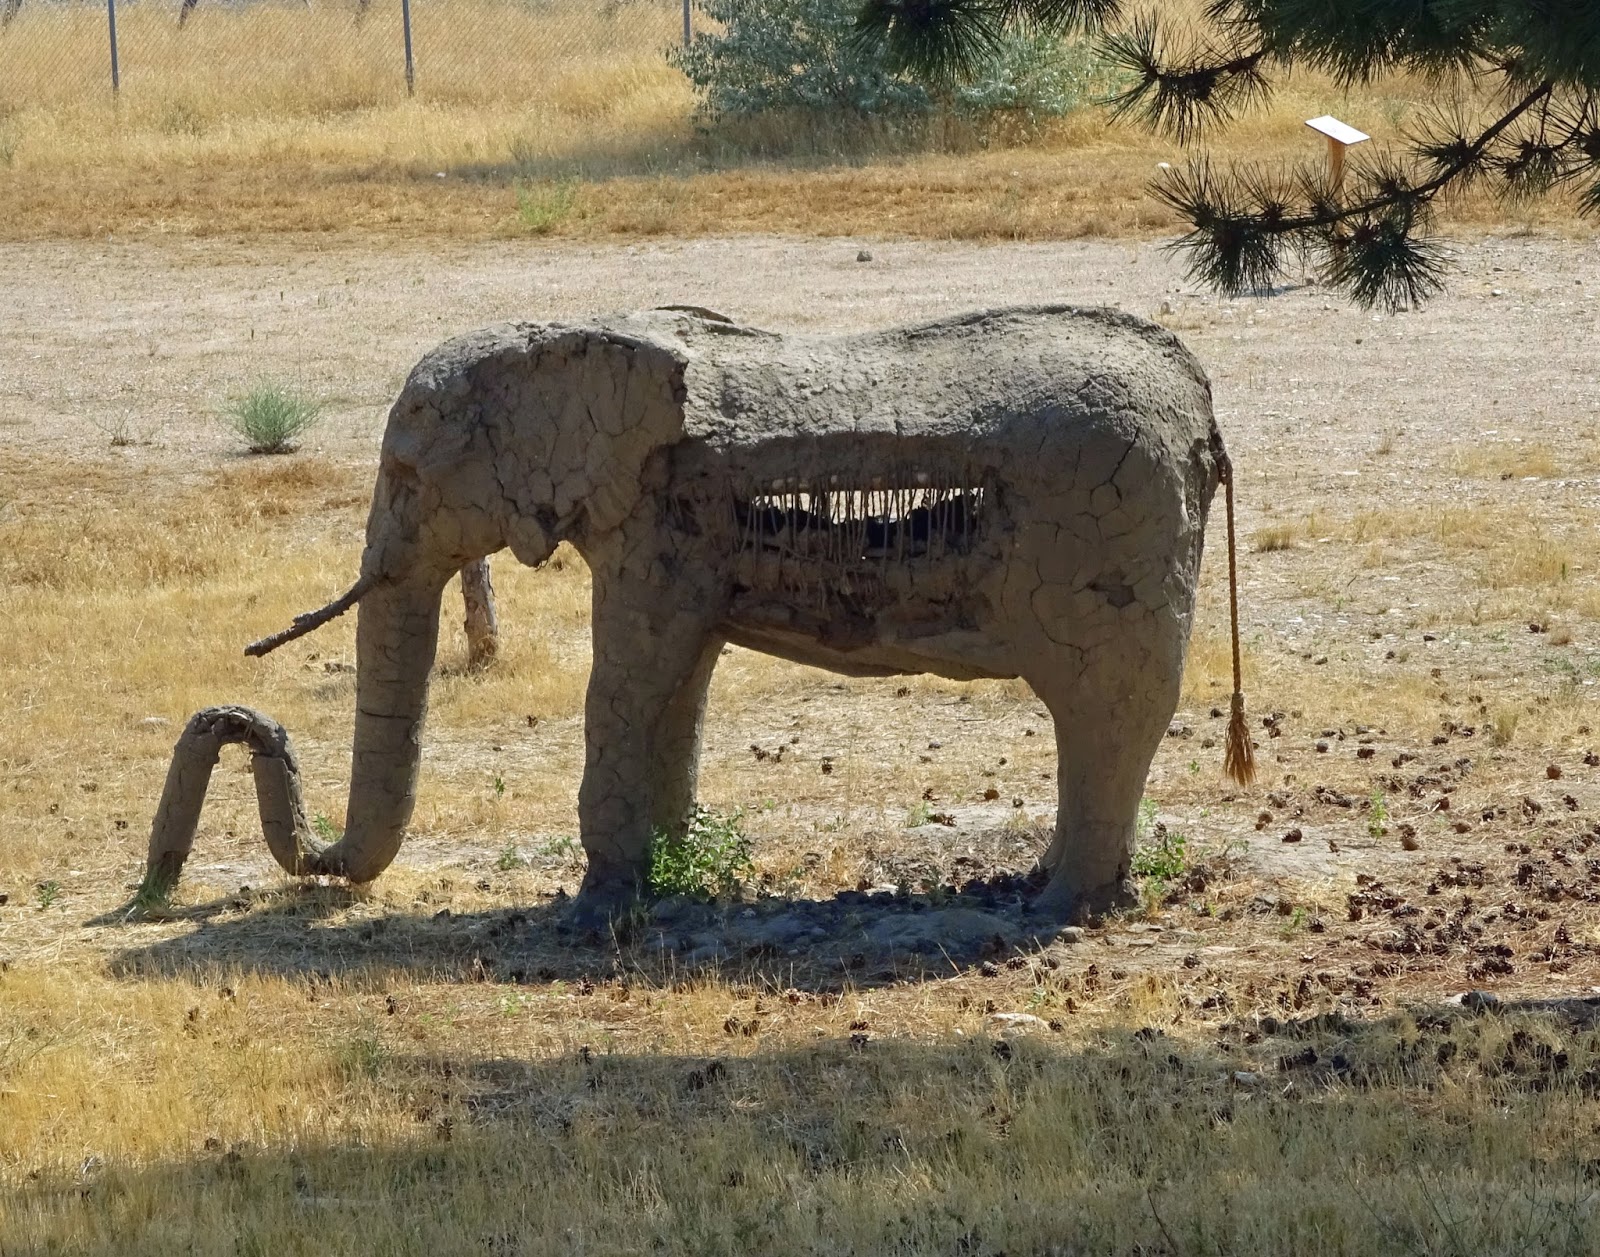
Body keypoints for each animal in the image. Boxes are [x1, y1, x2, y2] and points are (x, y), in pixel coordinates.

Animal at [142, 304, 1250, 923]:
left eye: (408, 479)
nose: (246, 719)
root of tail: (1200, 403)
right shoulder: (668, 533)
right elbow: (677, 689)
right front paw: (667, 874)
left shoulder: (648, 531)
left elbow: (627, 685)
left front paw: (599, 905)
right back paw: (1048, 889)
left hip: (1114, 528)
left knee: (1106, 712)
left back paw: (1056, 907)